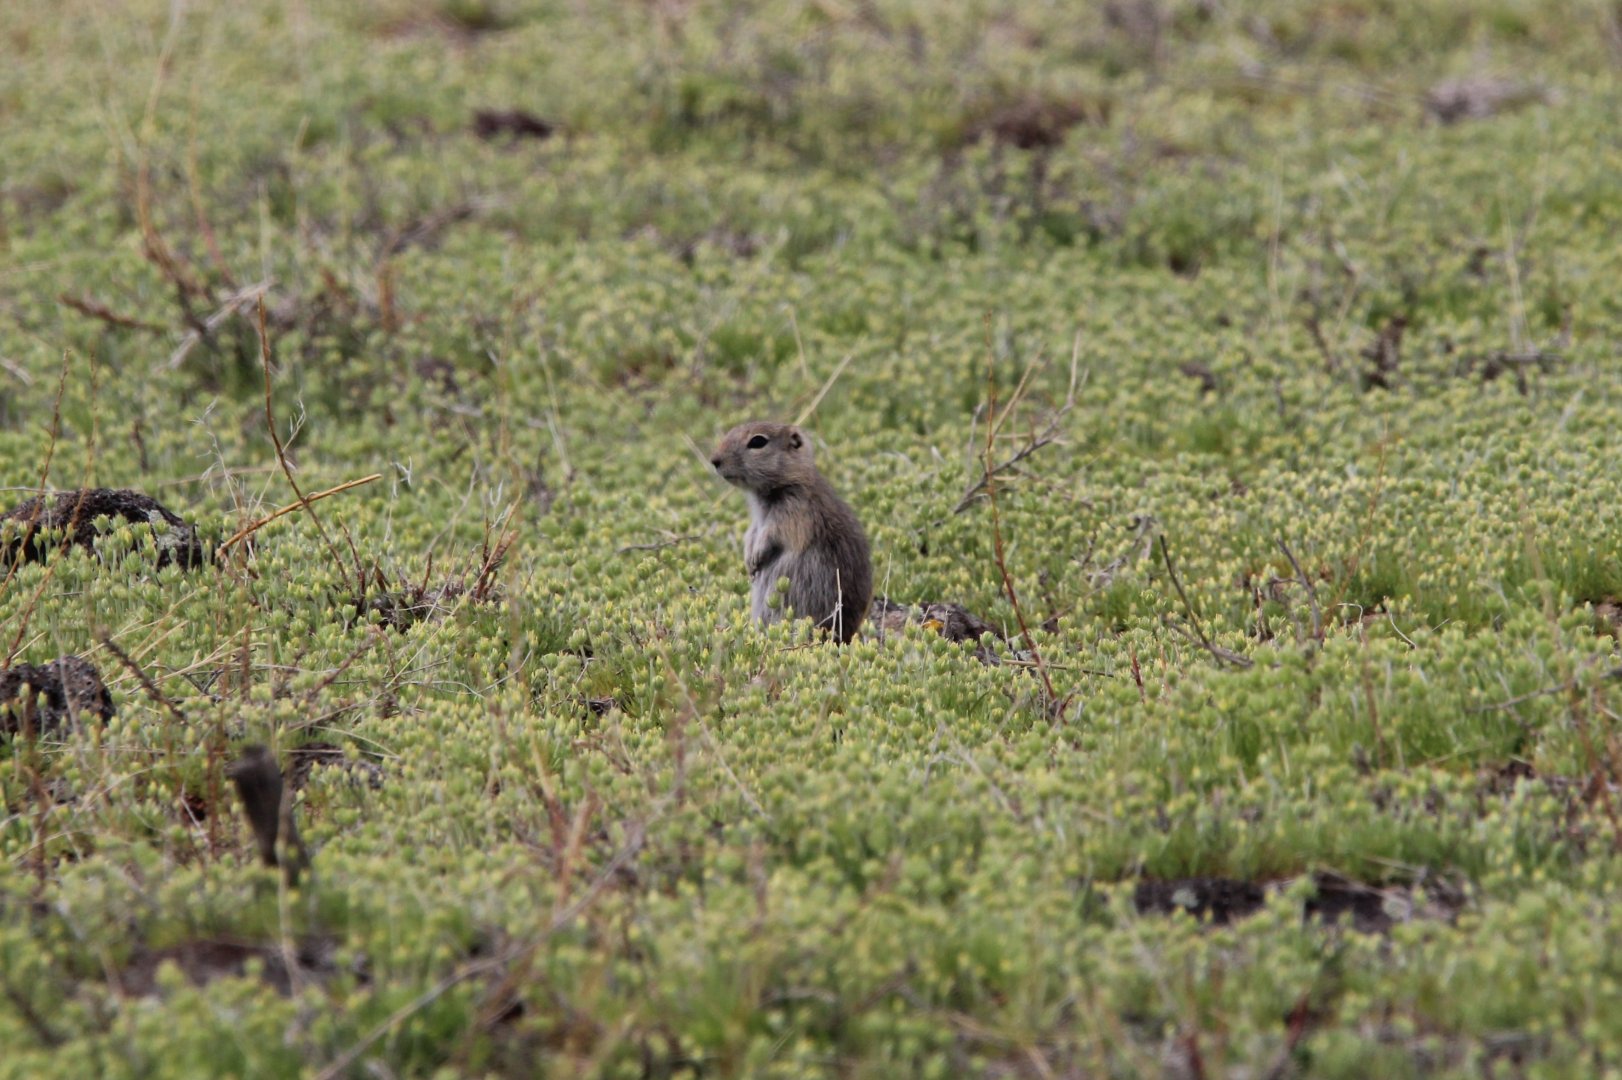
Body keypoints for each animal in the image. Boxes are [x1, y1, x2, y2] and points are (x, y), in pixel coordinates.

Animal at [711, 421, 873, 643]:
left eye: (757, 441)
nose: (714, 460)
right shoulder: (757, 523)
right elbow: (751, 533)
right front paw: (749, 564)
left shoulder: (793, 513)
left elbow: (772, 534)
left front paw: (755, 559)